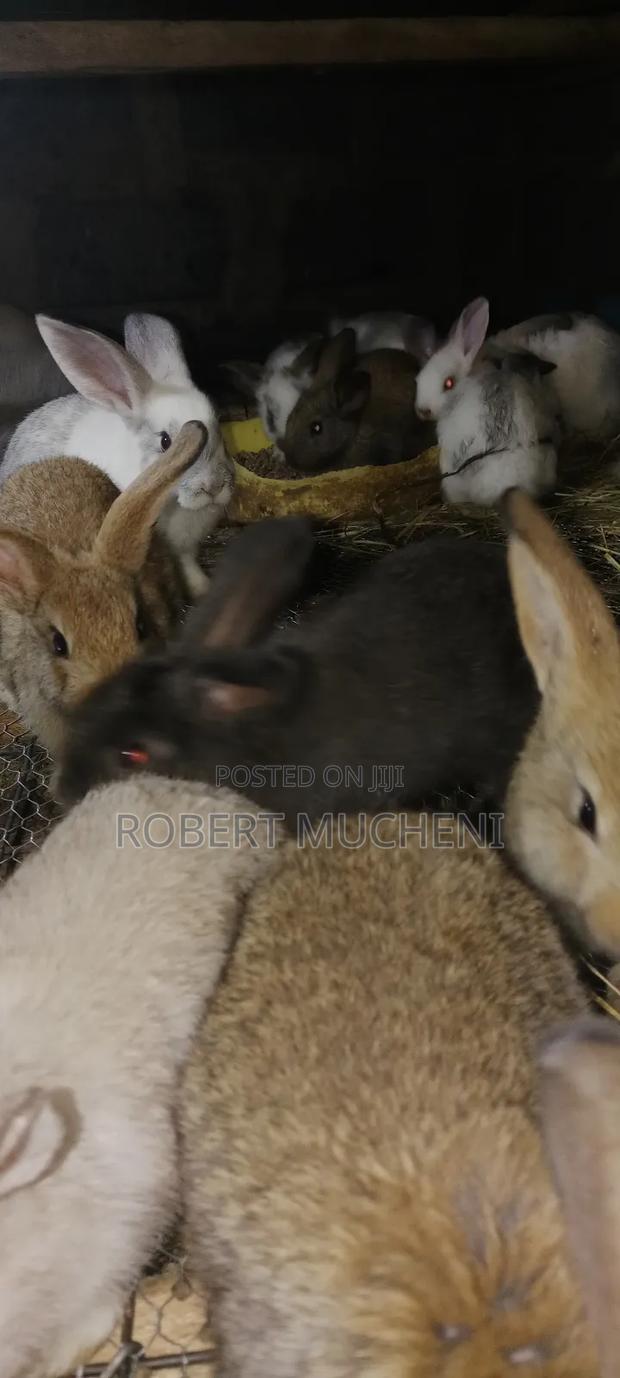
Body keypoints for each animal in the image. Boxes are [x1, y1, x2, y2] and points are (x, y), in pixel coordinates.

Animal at [2, 312, 235, 595]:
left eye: (219, 427)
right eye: (165, 441)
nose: (213, 487)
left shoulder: (186, 550)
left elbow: (189, 566)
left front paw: (203, 588)